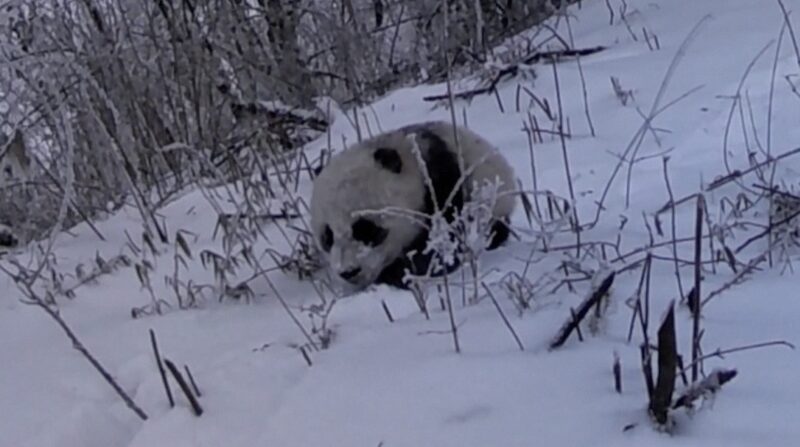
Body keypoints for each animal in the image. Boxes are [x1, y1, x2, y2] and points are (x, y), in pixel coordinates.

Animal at [310, 120, 518, 290]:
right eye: (327, 237)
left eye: (366, 228)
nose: (349, 272)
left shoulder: (442, 183)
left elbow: (444, 242)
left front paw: (400, 272)